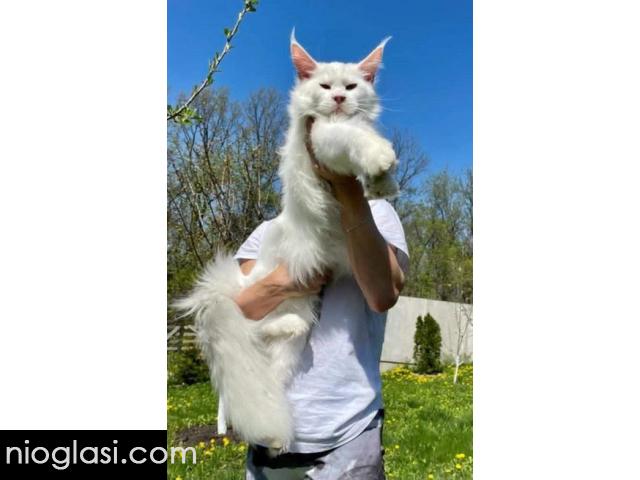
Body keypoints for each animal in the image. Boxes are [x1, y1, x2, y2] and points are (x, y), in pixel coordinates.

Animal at [174, 30, 399, 453]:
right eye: (325, 87)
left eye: (351, 87)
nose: (339, 99)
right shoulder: (322, 139)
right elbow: (351, 136)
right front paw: (379, 157)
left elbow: (367, 151)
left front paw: (382, 182)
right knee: (249, 324)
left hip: (294, 327)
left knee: (272, 343)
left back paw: (274, 436)